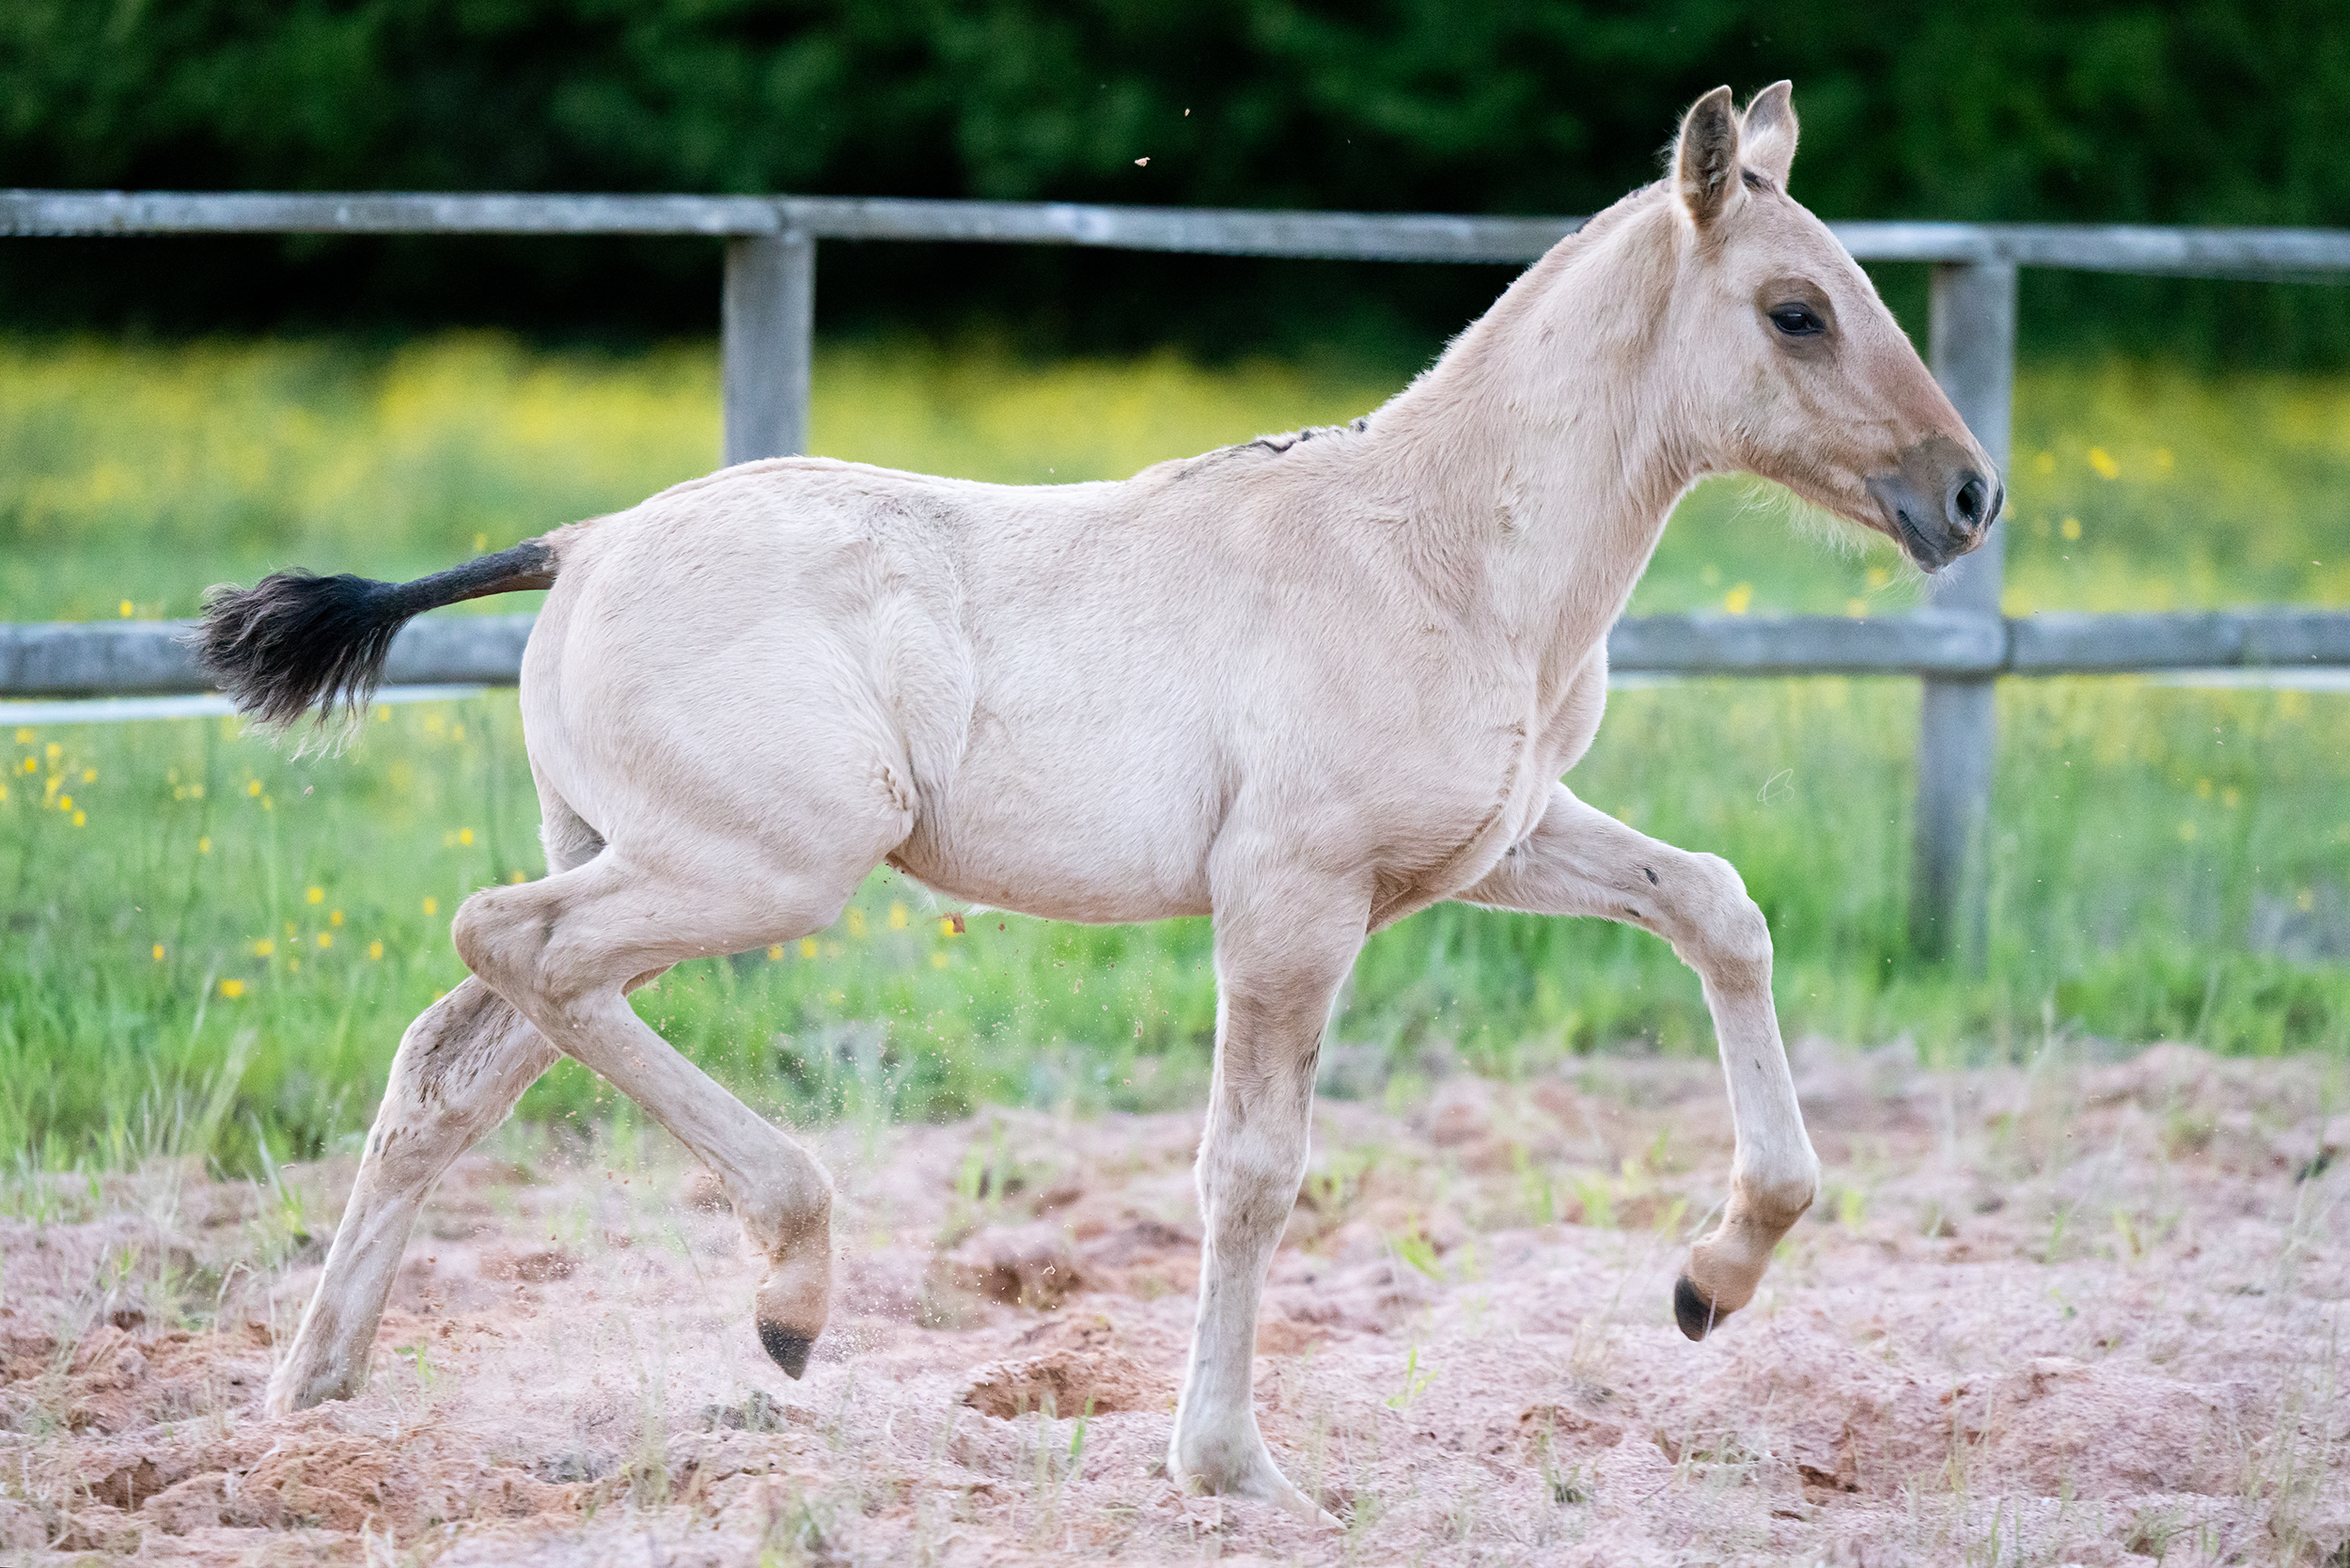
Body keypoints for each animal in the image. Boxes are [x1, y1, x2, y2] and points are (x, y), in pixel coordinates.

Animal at [207, 80, 2002, 1513]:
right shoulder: (1291, 898)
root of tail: (580, 544)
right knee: (508, 944)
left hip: (644, 862)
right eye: (1795, 311)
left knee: (457, 1057)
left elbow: (1716, 906)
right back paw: (788, 1286)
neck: (1439, 550)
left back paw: (313, 1405)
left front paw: (1716, 1276)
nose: (1970, 493)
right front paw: (1232, 1465)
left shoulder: (1487, 848)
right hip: (758, 868)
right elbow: (1251, 1168)